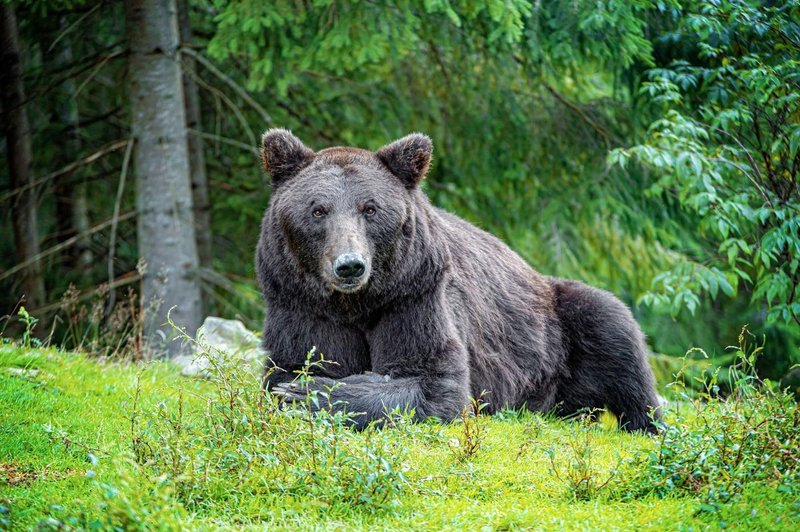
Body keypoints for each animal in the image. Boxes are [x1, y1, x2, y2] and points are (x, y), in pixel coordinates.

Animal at [256, 129, 664, 432]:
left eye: (370, 208)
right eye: (318, 210)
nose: (350, 266)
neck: (356, 303)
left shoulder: (413, 294)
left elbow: (436, 382)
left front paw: (311, 393)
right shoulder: (303, 305)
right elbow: (297, 360)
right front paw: (300, 386)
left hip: (558, 320)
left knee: (615, 333)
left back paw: (646, 423)